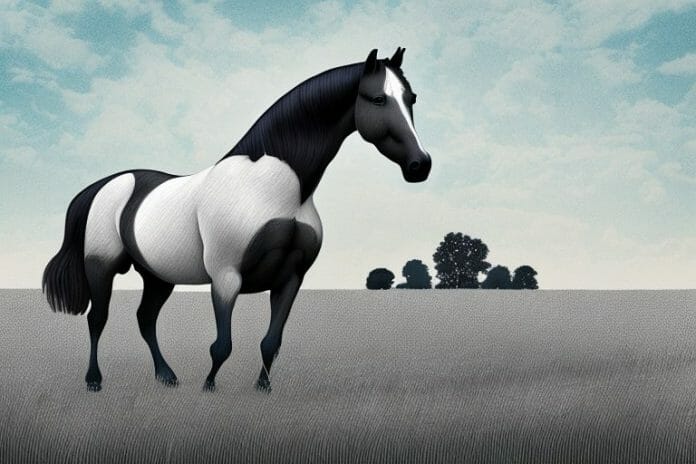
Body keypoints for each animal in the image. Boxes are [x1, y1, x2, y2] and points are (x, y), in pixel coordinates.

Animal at [43, 47, 431, 392]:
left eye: (411, 98)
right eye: (377, 99)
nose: (420, 165)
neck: (275, 187)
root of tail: (108, 184)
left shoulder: (290, 277)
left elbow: (271, 342)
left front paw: (263, 387)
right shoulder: (226, 276)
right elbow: (222, 345)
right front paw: (208, 386)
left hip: (157, 275)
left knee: (145, 320)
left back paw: (166, 377)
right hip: (101, 266)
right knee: (97, 319)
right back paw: (94, 381)